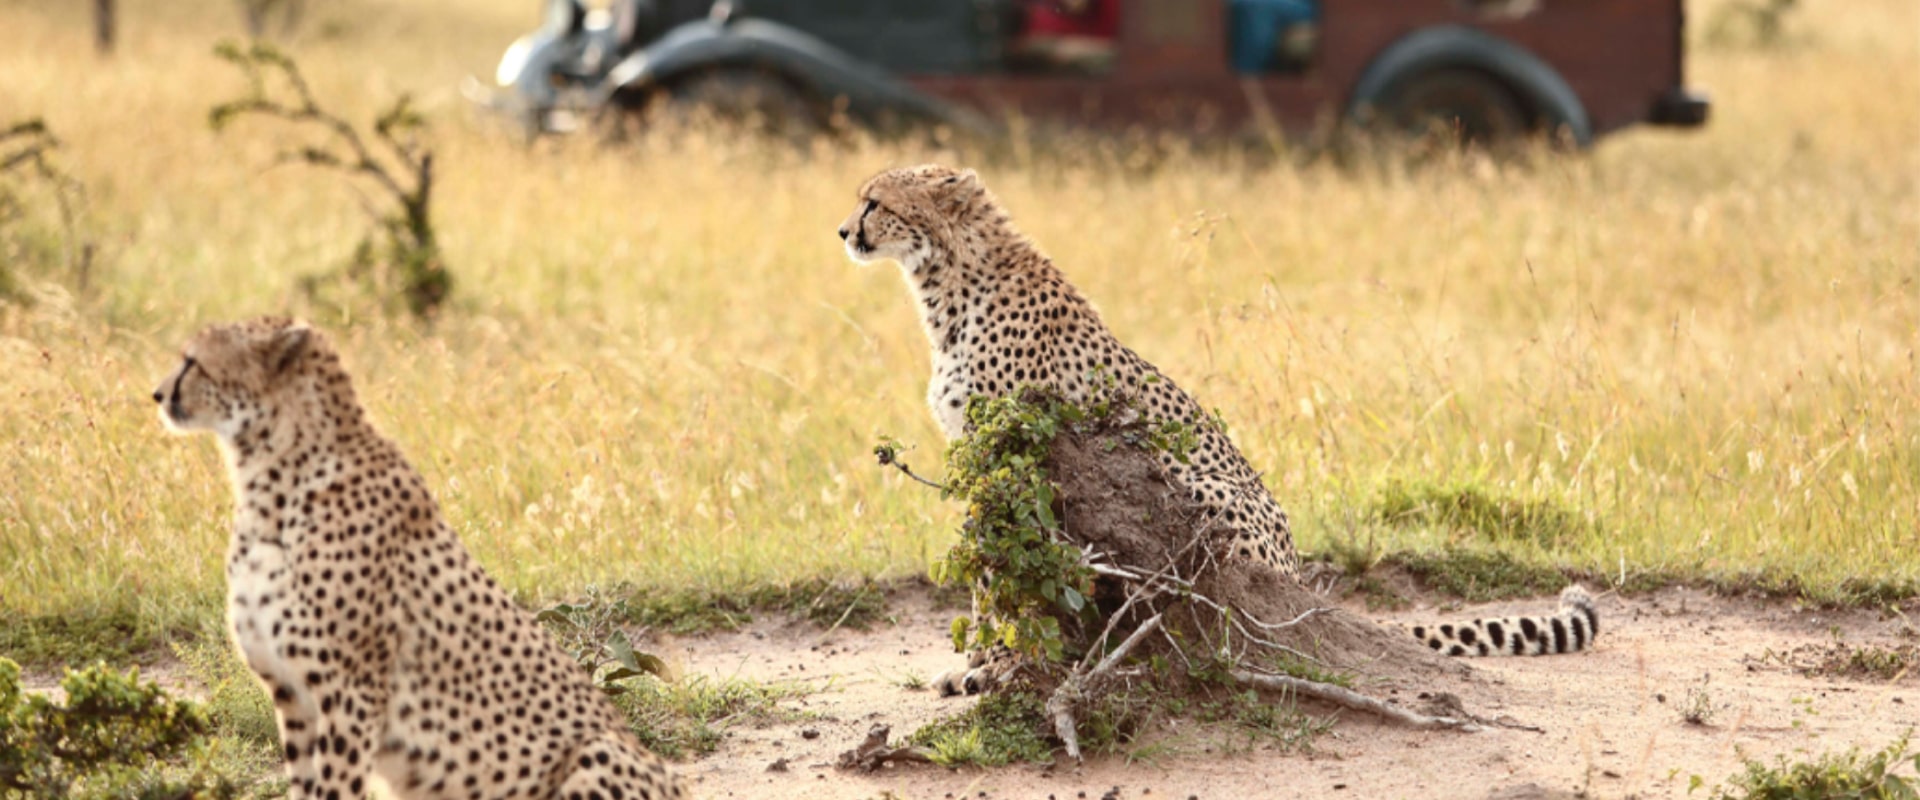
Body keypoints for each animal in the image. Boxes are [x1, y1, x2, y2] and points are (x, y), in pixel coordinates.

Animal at [157, 316, 687, 798]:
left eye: (192, 361)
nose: (157, 394)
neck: (270, 480)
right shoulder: (294, 698)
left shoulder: (352, 692)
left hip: (598, 750)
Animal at [840, 164, 1605, 690]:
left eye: (876, 201)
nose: (844, 231)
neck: (949, 283)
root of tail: (1299, 577)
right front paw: (980, 657)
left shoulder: (1014, 455)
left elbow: (999, 569)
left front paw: (988, 661)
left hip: (1197, 485)